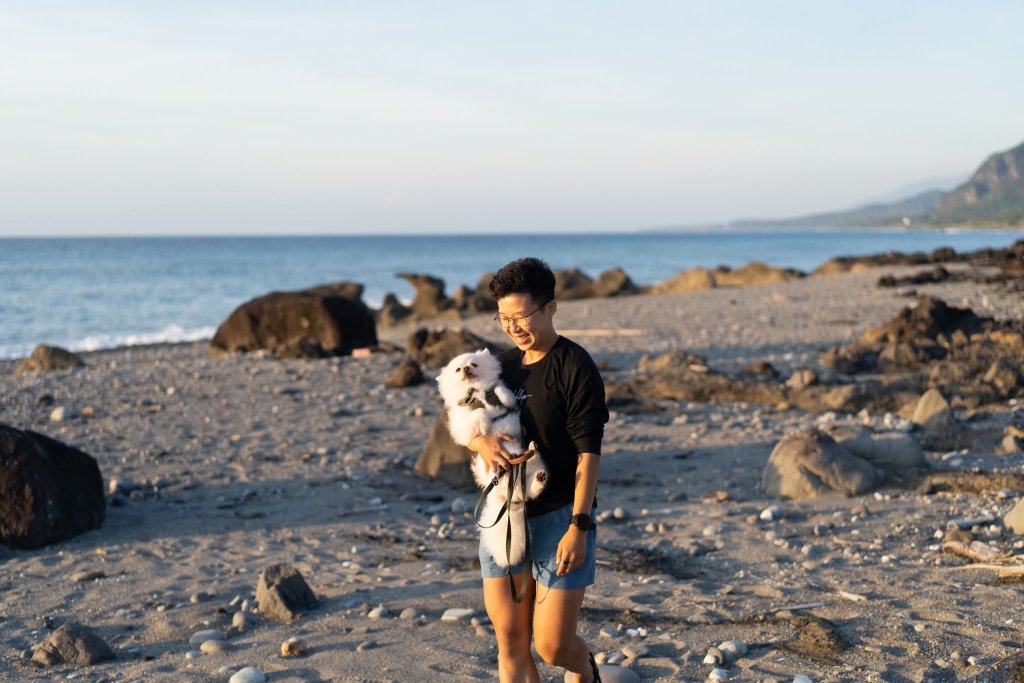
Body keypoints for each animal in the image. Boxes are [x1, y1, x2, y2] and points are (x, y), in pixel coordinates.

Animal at [434, 350, 548, 569]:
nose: (466, 369)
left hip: (529, 468)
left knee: (530, 489)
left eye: (474, 364)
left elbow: (502, 391)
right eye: (458, 369)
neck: (476, 393)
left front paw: (501, 399)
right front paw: (486, 425)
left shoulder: (499, 390)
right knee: (525, 493)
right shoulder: (462, 425)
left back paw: (536, 464)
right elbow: (478, 413)